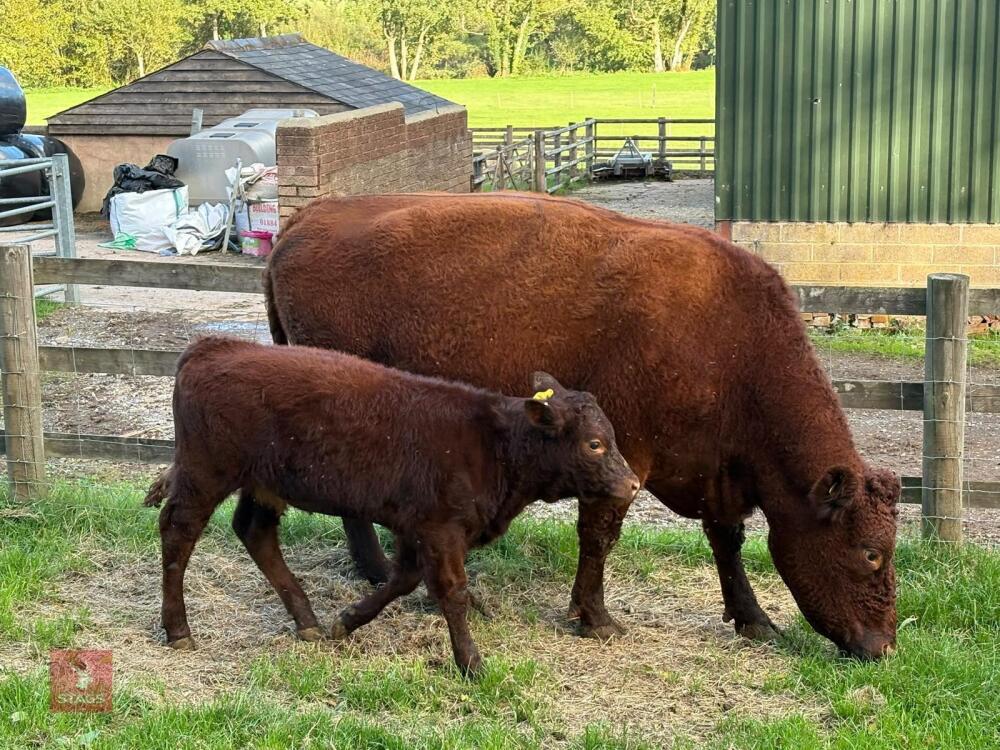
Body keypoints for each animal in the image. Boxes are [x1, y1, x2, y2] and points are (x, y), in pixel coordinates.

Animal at [144, 336, 640, 675]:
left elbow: (402, 580)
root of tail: (213, 347)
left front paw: (347, 621)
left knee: (255, 533)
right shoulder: (441, 529)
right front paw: (472, 663)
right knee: (178, 534)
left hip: (263, 484)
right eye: (595, 444)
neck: (493, 444)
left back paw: (307, 621)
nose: (633, 484)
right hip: (204, 475)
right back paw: (179, 629)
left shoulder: (414, 527)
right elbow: (452, 592)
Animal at [263, 192, 901, 660]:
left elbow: (727, 540)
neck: (729, 337)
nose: (884, 646)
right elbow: (600, 535)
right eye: (870, 553)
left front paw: (755, 618)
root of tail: (305, 219)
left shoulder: (718, 468)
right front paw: (595, 617)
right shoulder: (624, 456)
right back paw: (378, 571)